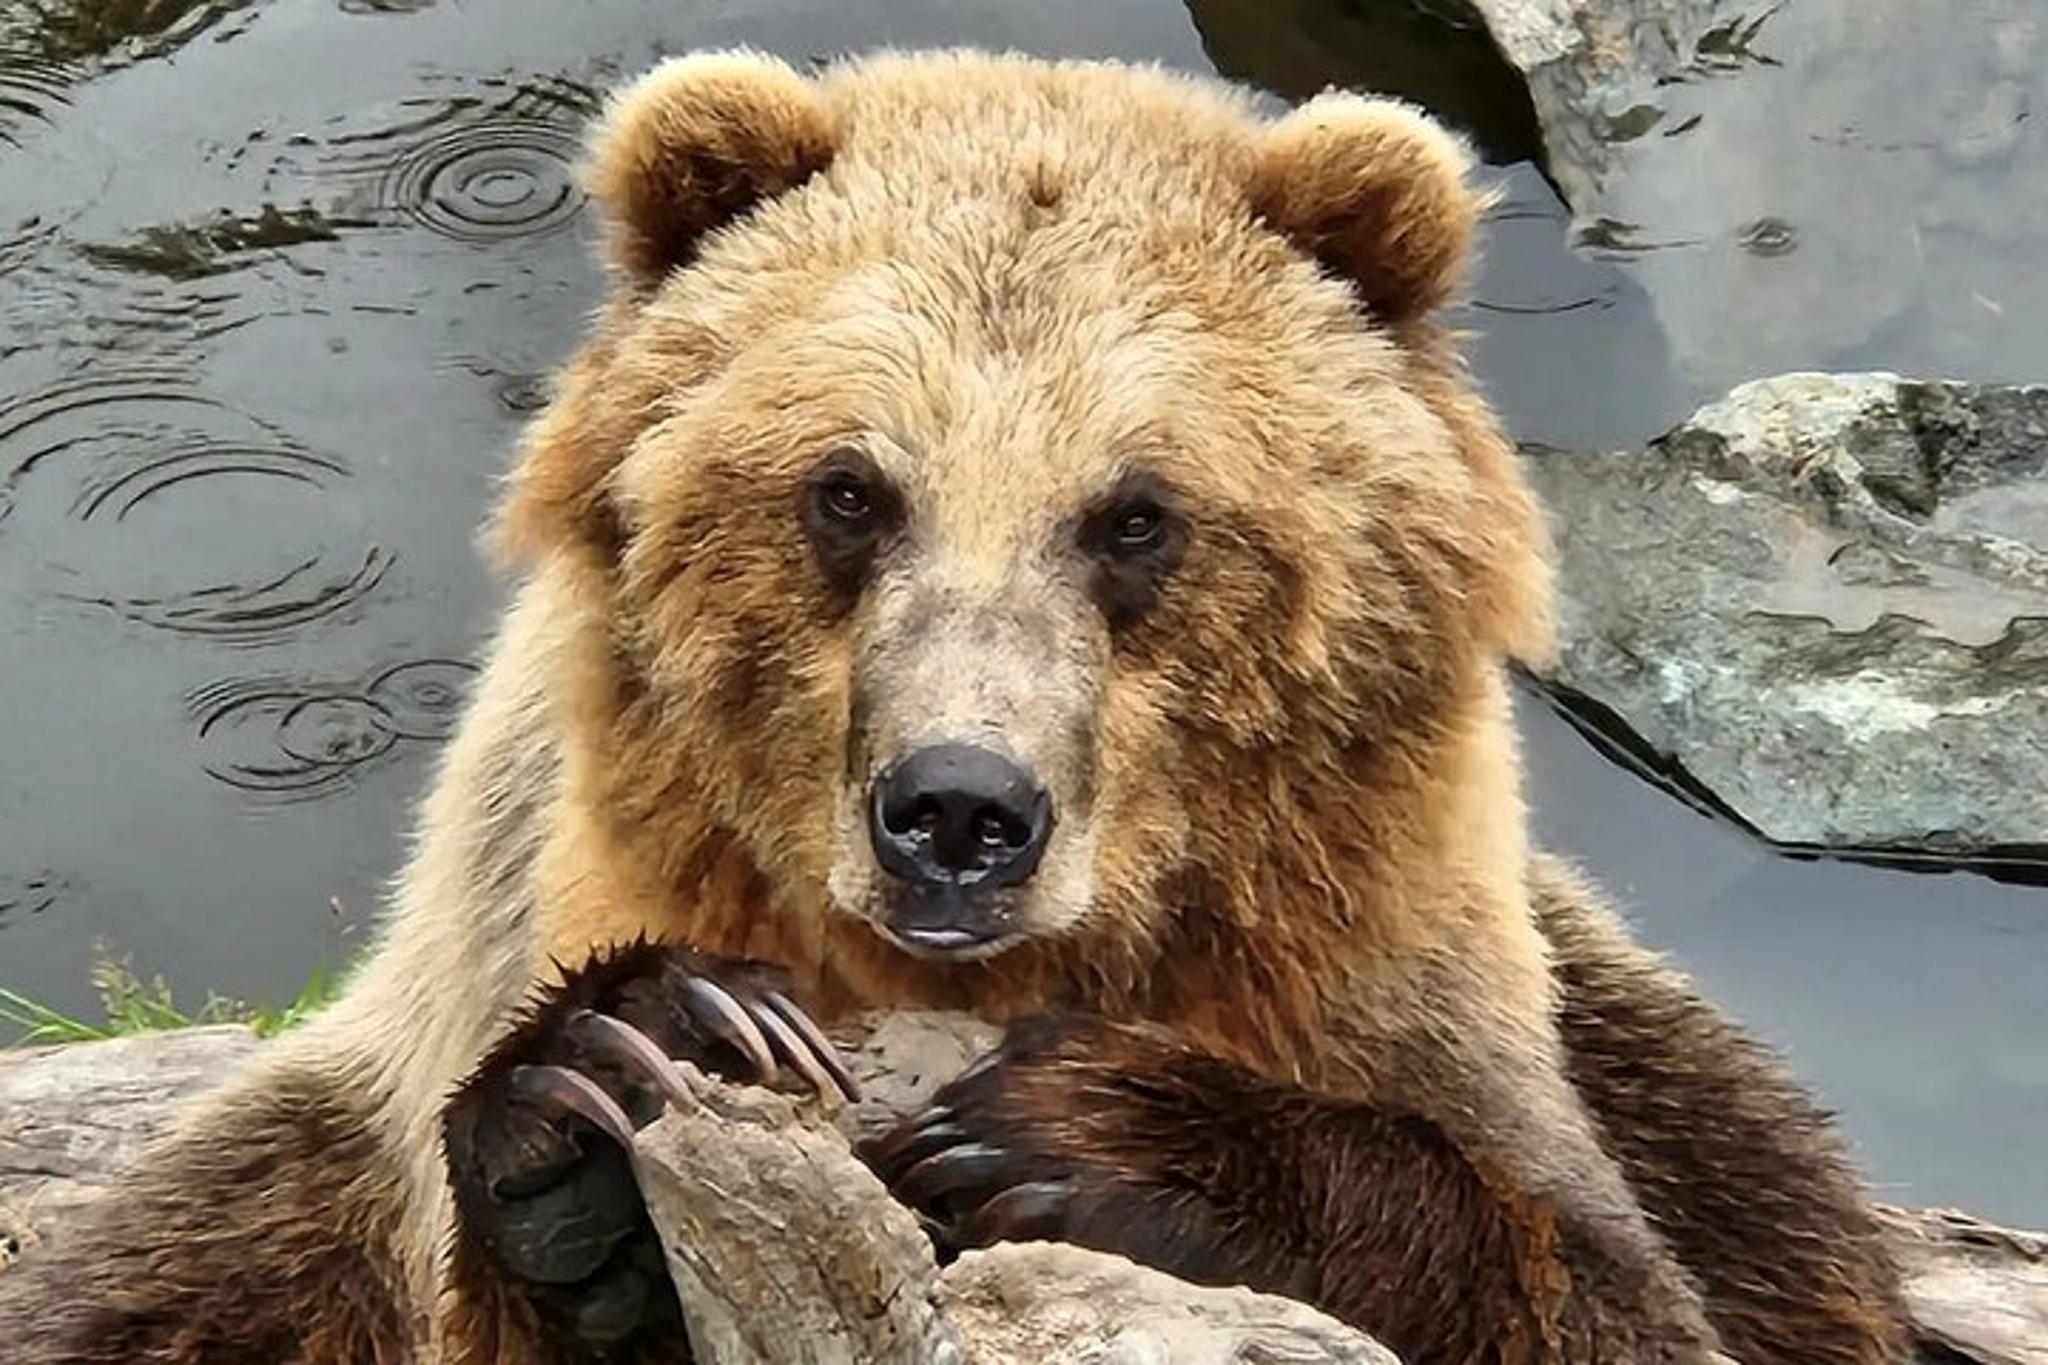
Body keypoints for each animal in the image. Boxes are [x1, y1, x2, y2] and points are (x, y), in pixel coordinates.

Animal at [0, 48, 1909, 1365]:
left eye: (1136, 513)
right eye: (849, 489)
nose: (958, 814)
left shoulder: (1428, 1010)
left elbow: (1609, 1288)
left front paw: (1083, 1134)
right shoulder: (381, 1139)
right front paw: (634, 1063)